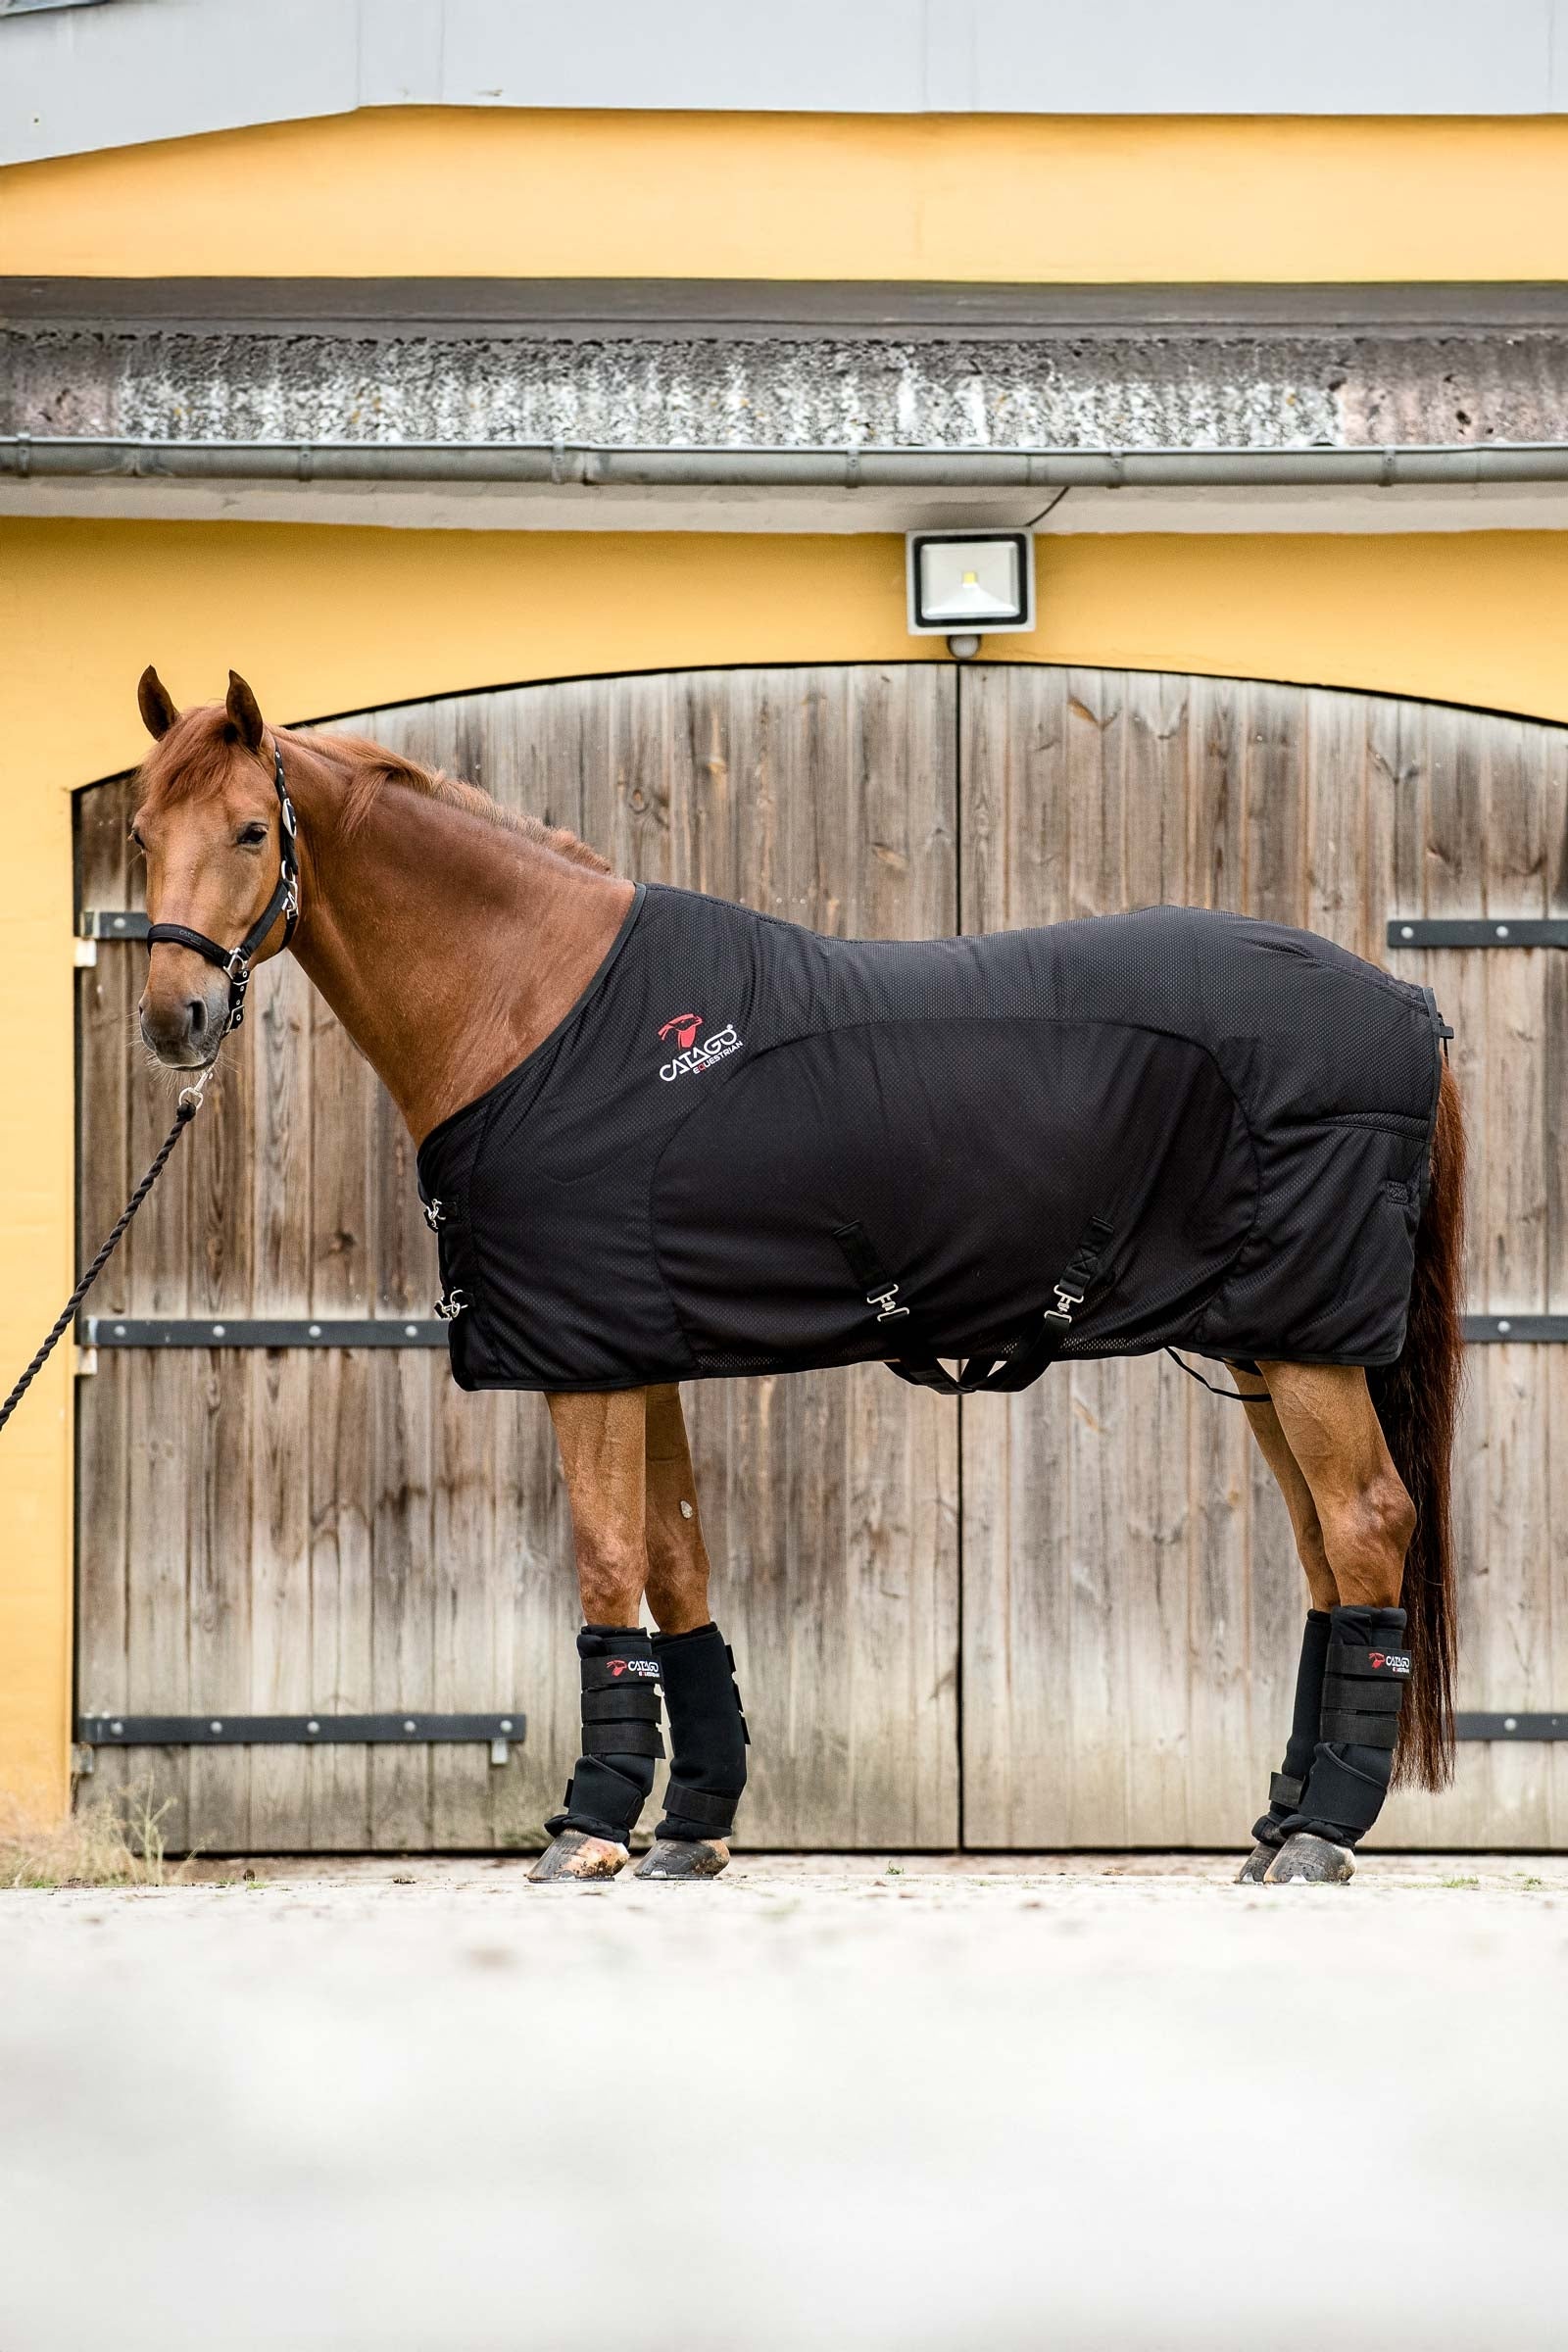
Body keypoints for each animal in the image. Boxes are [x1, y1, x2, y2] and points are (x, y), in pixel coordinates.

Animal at [129, 667, 1466, 1886]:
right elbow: (675, 1565)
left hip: (1306, 1343)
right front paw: (691, 1830)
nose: (172, 1018)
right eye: (139, 832)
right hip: (1271, 1339)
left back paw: (1322, 1836)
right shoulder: (638, 1345)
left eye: (251, 830)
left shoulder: (586, 1360)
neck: (541, 1010)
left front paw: (589, 1828)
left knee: (1364, 1523)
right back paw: (1280, 1824)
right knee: (1322, 1552)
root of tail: (1408, 1003)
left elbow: (608, 1562)